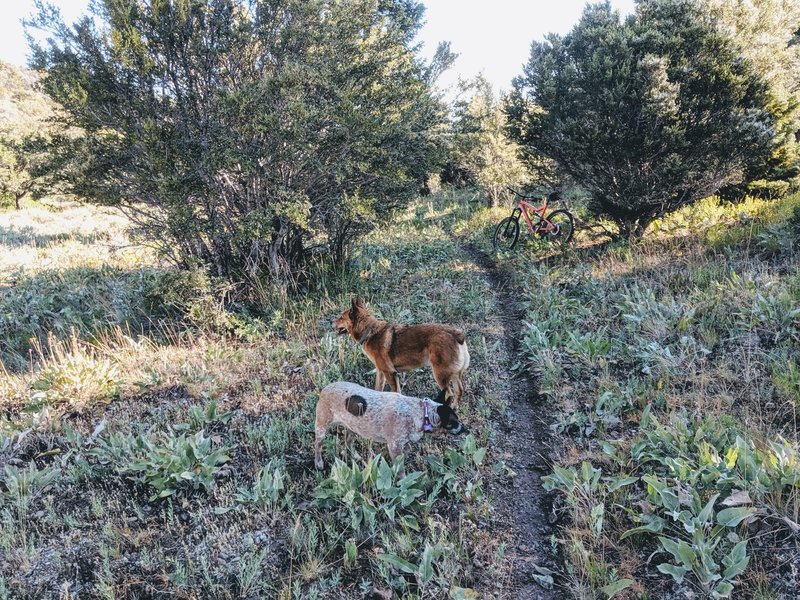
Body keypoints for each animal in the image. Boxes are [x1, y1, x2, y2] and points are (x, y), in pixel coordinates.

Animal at [312, 382, 462, 476]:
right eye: (453, 422)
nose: (465, 429)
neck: (422, 412)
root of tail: (324, 390)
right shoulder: (394, 446)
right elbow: (401, 470)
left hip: (353, 427)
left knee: (348, 441)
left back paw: (355, 456)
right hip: (322, 427)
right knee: (318, 445)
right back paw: (318, 463)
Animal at [334, 296, 472, 406]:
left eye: (341, 317)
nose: (331, 322)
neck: (369, 331)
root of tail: (457, 335)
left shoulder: (390, 373)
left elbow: (396, 393)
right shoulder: (381, 372)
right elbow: (378, 389)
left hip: (439, 375)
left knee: (450, 394)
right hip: (454, 374)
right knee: (459, 391)